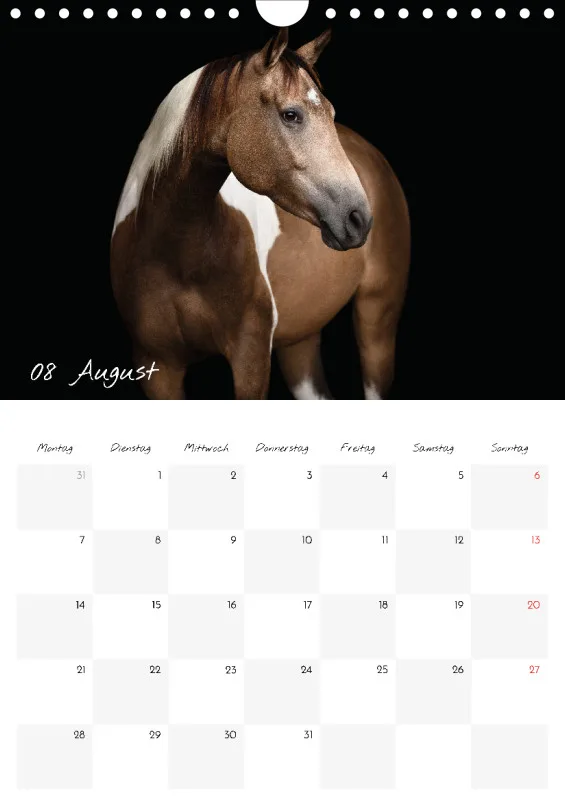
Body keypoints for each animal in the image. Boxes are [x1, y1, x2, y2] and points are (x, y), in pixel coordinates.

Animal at [110, 28, 410, 399]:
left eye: (330, 112)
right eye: (291, 114)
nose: (359, 218)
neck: (175, 254)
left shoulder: (250, 357)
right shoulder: (157, 367)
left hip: (377, 317)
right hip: (300, 342)